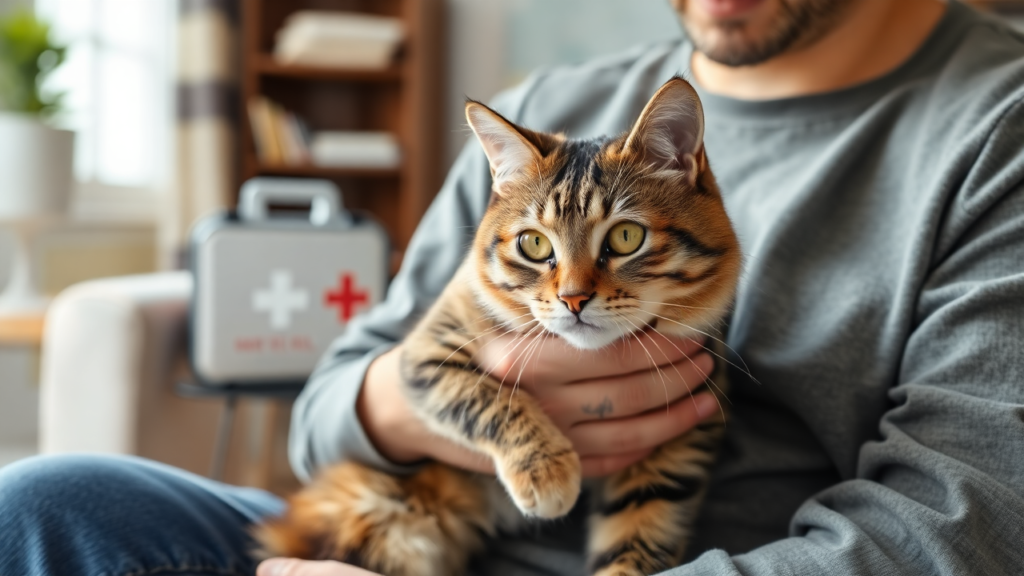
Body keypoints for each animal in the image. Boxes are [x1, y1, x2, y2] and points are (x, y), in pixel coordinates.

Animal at [252, 77, 741, 573]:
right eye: (534, 244)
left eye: (626, 237)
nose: (573, 299)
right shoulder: (427, 353)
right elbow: (492, 398)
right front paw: (546, 471)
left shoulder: (676, 445)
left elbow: (636, 540)